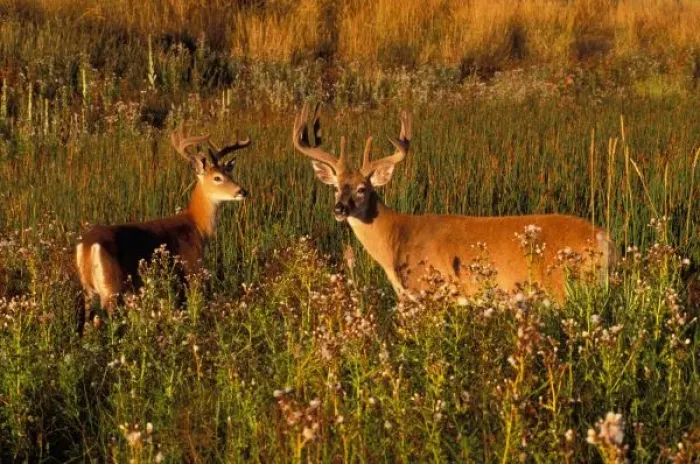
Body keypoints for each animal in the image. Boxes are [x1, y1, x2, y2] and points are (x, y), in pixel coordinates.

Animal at [76, 126, 251, 312]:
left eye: (230, 174)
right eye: (217, 178)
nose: (242, 191)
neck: (196, 226)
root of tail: (87, 245)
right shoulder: (192, 267)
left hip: (88, 290)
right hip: (111, 288)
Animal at [292, 103, 615, 302]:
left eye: (362, 189)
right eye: (335, 188)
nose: (339, 209)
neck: (397, 238)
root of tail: (603, 237)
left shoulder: (427, 292)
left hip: (566, 288)